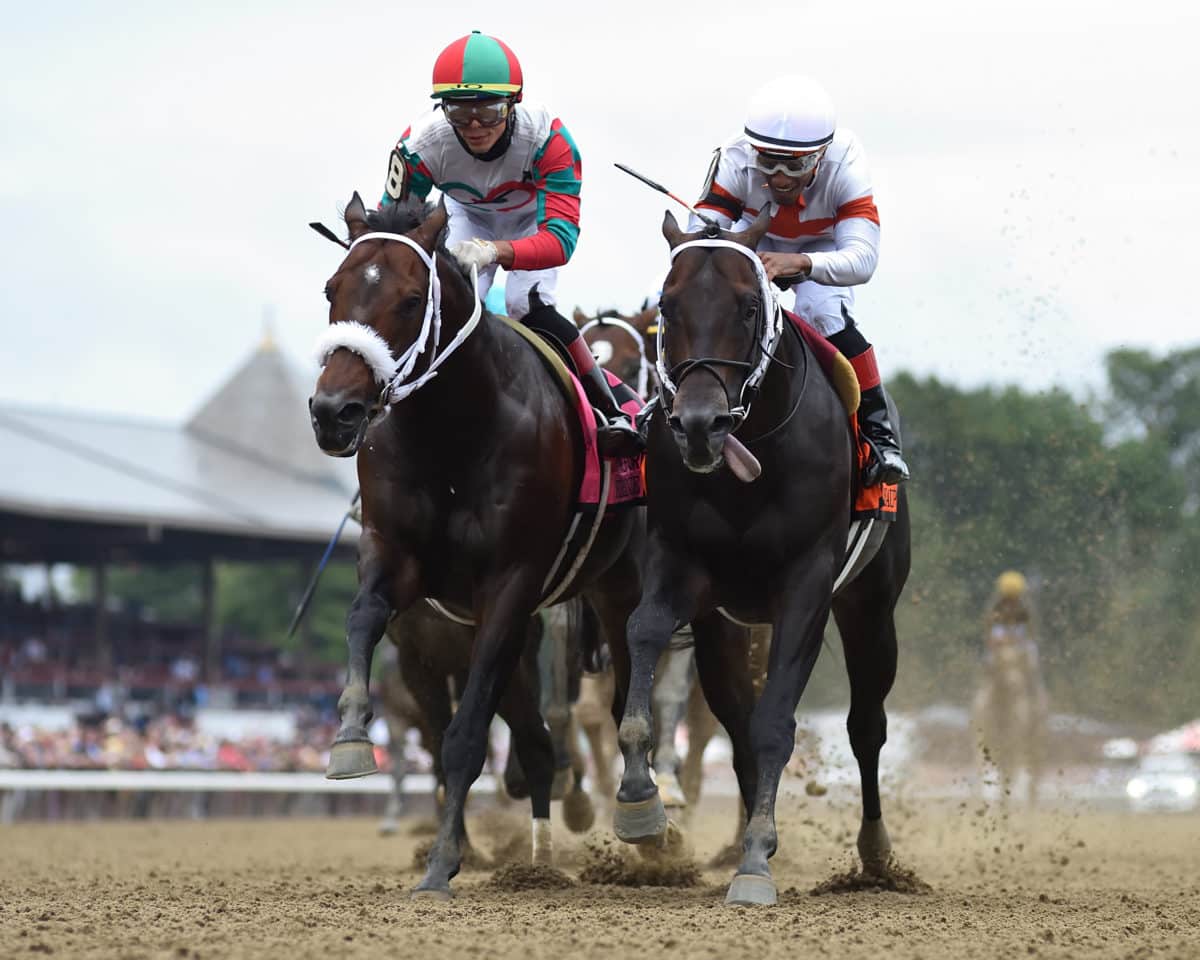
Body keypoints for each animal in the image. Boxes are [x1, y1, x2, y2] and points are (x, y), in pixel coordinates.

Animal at [309, 194, 648, 902]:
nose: (334, 412)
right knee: (538, 739)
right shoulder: (398, 567)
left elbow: (464, 738)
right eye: (331, 289)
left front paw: (442, 862)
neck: (452, 433)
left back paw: (642, 813)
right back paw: (541, 854)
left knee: (629, 684)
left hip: (619, 588)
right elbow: (362, 618)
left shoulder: (510, 586)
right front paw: (350, 736)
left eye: (412, 300)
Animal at [614, 212, 912, 907]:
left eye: (749, 307)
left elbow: (778, 720)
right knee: (734, 716)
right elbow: (643, 632)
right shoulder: (680, 562)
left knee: (866, 725)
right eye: (667, 306)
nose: (699, 424)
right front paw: (641, 798)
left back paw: (875, 855)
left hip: (871, 607)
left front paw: (754, 863)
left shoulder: (808, 585)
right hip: (725, 626)